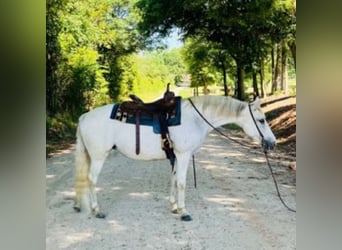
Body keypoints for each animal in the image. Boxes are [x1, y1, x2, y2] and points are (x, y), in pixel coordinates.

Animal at [73, 95, 276, 221]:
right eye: (261, 120)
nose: (273, 143)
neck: (195, 119)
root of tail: (84, 116)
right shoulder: (184, 154)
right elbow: (181, 182)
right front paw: (183, 211)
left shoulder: (177, 155)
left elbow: (174, 178)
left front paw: (174, 206)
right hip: (98, 156)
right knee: (91, 180)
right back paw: (97, 210)